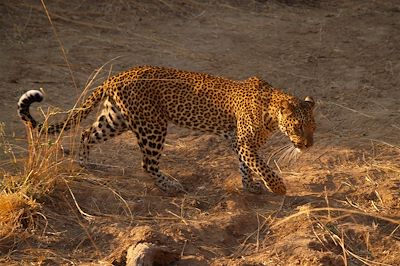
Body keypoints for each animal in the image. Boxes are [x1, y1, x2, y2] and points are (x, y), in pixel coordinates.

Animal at [17, 66, 314, 195]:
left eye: (314, 128)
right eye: (299, 126)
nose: (308, 145)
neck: (272, 113)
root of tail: (118, 75)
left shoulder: (236, 141)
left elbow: (246, 164)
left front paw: (250, 185)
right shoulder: (243, 140)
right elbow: (260, 164)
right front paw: (277, 186)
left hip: (117, 118)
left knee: (87, 133)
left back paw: (86, 164)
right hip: (153, 125)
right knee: (147, 164)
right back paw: (170, 185)